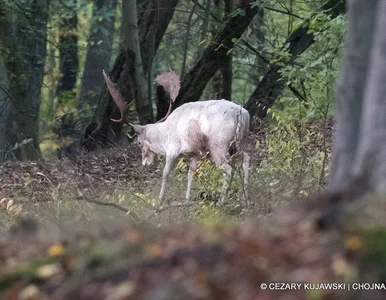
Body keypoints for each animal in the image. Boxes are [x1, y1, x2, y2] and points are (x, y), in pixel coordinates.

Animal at [104, 69, 252, 204]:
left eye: (139, 143)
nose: (144, 163)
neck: (163, 137)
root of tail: (241, 114)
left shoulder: (173, 150)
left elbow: (165, 173)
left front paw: (160, 200)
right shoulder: (197, 153)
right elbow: (191, 172)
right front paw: (187, 199)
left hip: (218, 145)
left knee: (228, 169)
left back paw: (222, 201)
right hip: (238, 143)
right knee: (246, 158)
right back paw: (246, 198)